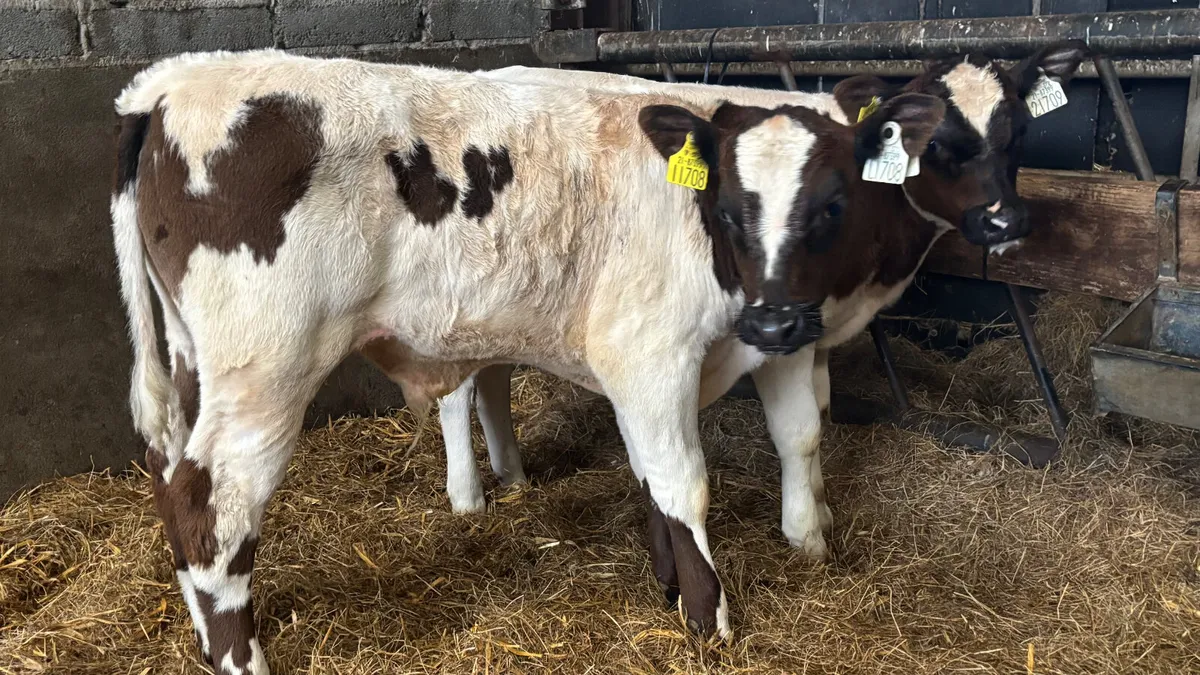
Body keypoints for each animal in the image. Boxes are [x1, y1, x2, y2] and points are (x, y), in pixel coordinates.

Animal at [111, 49, 947, 670]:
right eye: (735, 206)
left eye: (832, 203)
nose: (774, 314)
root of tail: (171, 82)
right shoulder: (650, 350)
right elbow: (683, 482)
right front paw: (708, 620)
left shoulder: (773, 343)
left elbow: (792, 439)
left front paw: (802, 547)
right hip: (266, 368)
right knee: (208, 502)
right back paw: (241, 656)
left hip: (192, 358)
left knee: (168, 478)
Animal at [434, 43, 1088, 555]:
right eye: (938, 142)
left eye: (1019, 133)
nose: (1004, 221)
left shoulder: (810, 328)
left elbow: (813, 416)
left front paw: (818, 510)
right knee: (455, 394)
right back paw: (469, 497)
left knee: (491, 375)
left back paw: (513, 474)